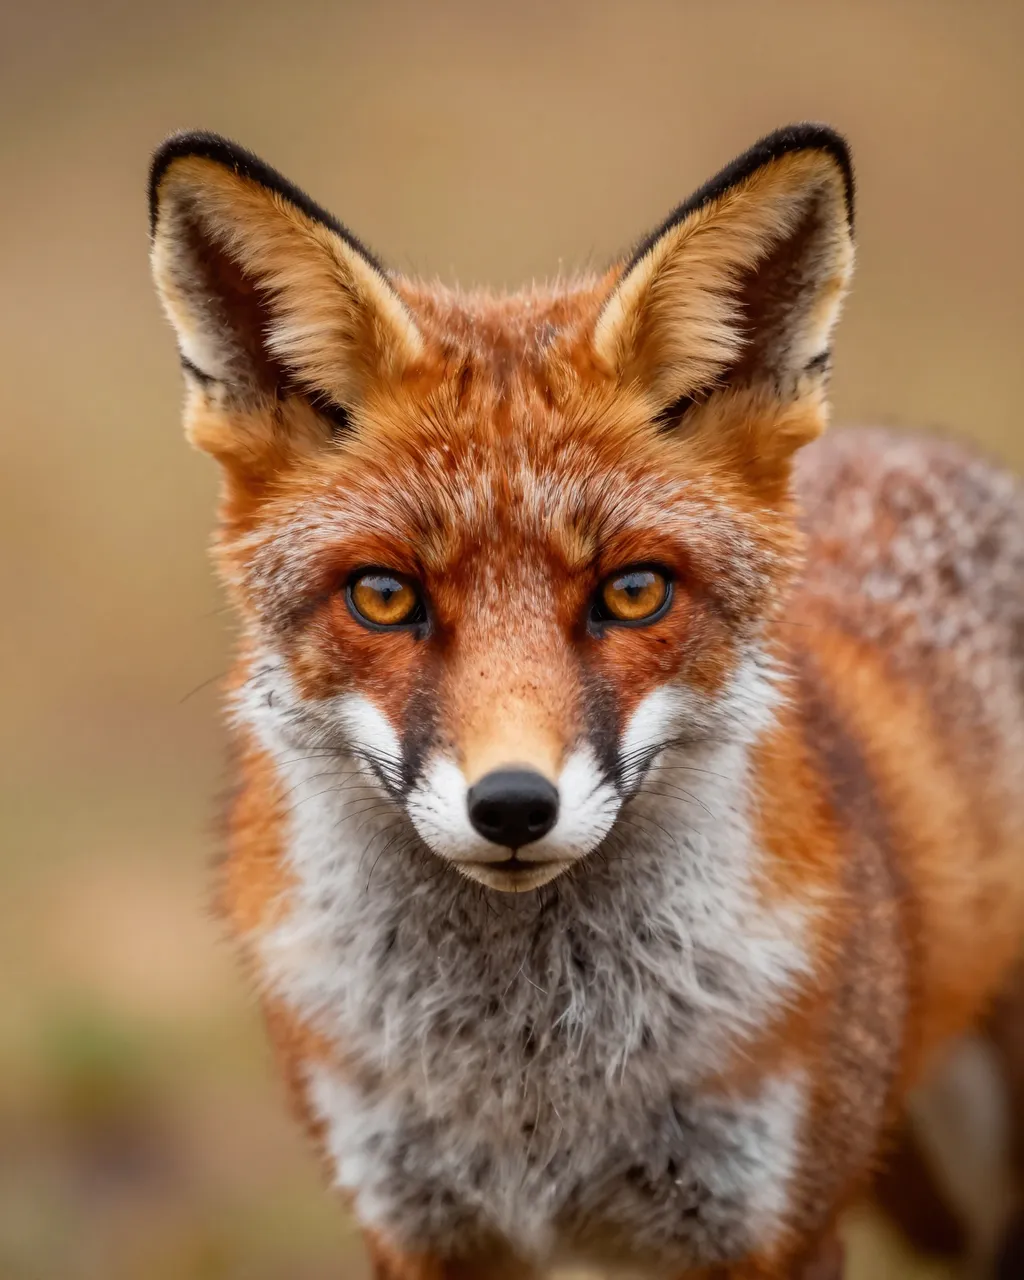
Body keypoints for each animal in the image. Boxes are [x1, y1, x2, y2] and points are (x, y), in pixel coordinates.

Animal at [149, 124, 1024, 1279]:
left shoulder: (773, 1227)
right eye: (384, 596)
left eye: (634, 590)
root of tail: (922, 446)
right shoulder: (422, 1227)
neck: (536, 1083)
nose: (514, 805)